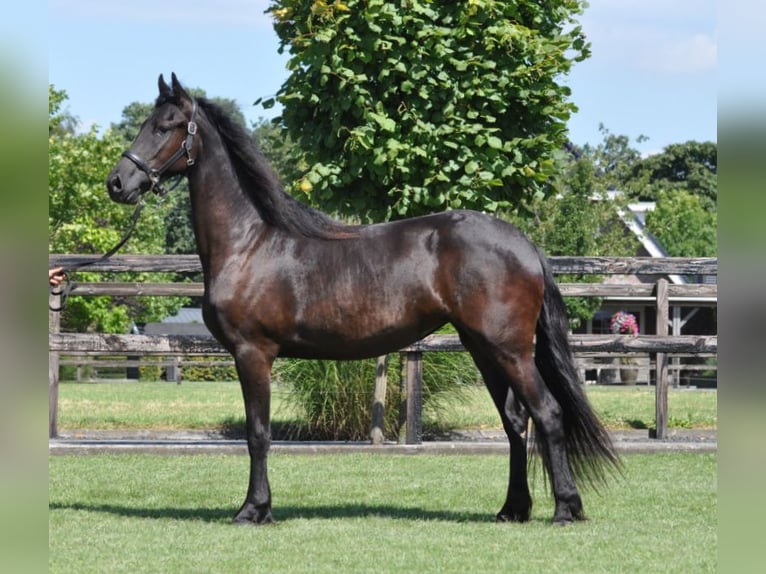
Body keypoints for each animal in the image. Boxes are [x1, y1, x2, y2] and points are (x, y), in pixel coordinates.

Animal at [108, 74, 620, 528]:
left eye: (167, 125)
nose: (118, 182)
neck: (248, 243)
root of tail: (524, 244)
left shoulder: (253, 353)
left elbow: (258, 434)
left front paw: (254, 510)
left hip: (510, 350)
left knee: (547, 414)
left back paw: (565, 509)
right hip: (485, 349)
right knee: (516, 422)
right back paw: (513, 509)